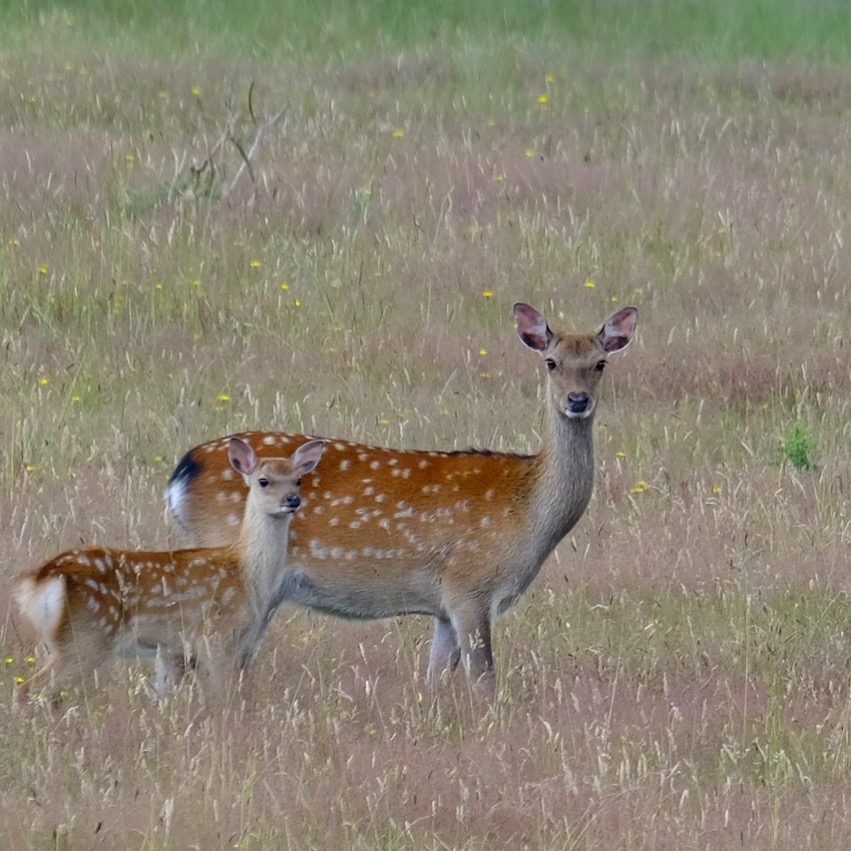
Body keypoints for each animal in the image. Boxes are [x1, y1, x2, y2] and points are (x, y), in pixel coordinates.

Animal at [15, 437, 325, 704]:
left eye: (298, 480)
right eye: (264, 481)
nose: (292, 499)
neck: (247, 573)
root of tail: (42, 578)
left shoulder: (172, 648)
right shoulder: (215, 635)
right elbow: (221, 697)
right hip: (86, 636)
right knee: (30, 689)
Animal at [165, 303, 638, 697]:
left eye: (600, 363)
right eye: (551, 362)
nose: (577, 400)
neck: (529, 510)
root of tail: (181, 473)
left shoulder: (445, 606)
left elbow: (436, 677)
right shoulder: (470, 586)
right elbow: (485, 680)